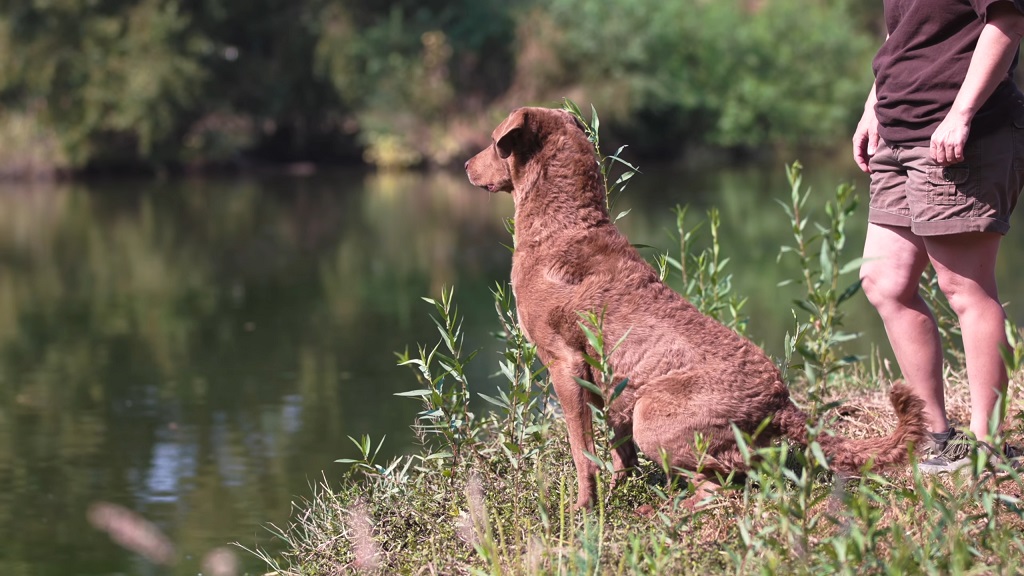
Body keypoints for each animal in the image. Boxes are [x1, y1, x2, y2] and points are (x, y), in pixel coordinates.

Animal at [464, 106, 929, 506]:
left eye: (494, 142)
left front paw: (584, 509)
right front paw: (617, 493)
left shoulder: (565, 365)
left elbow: (583, 452)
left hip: (653, 415)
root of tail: (781, 402)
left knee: (726, 483)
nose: (466, 164)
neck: (563, 222)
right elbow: (617, 452)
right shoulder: (607, 384)